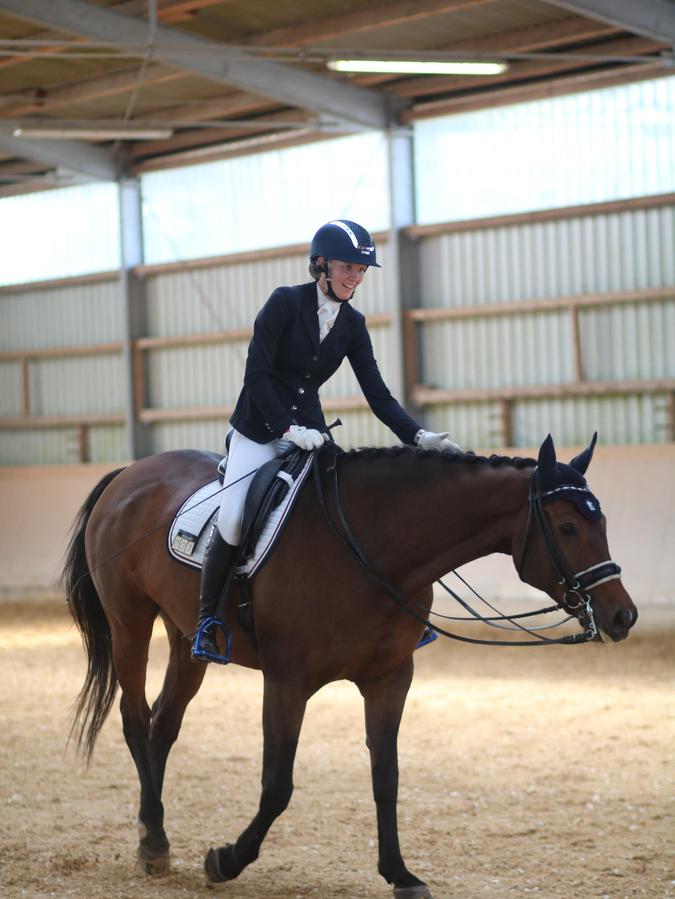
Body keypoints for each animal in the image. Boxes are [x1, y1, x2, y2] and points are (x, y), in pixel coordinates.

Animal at [63, 432, 640, 896]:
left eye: (603, 522)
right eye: (566, 527)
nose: (622, 615)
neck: (374, 544)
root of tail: (129, 474)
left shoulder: (389, 679)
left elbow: (386, 776)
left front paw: (400, 874)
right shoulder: (287, 682)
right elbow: (277, 785)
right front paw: (225, 861)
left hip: (187, 639)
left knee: (163, 726)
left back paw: (153, 836)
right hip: (130, 623)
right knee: (136, 720)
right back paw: (154, 842)